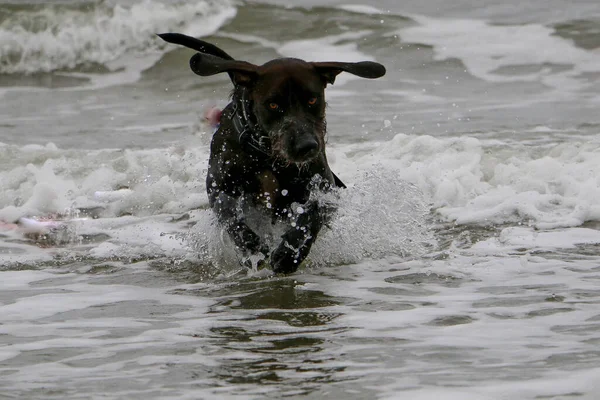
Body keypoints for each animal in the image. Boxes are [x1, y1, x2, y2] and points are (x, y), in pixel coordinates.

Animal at [159, 32, 384, 274]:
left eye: (312, 100)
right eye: (274, 105)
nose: (307, 146)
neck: (267, 156)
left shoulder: (326, 189)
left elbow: (312, 215)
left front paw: (289, 254)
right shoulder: (220, 188)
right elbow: (229, 214)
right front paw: (250, 247)